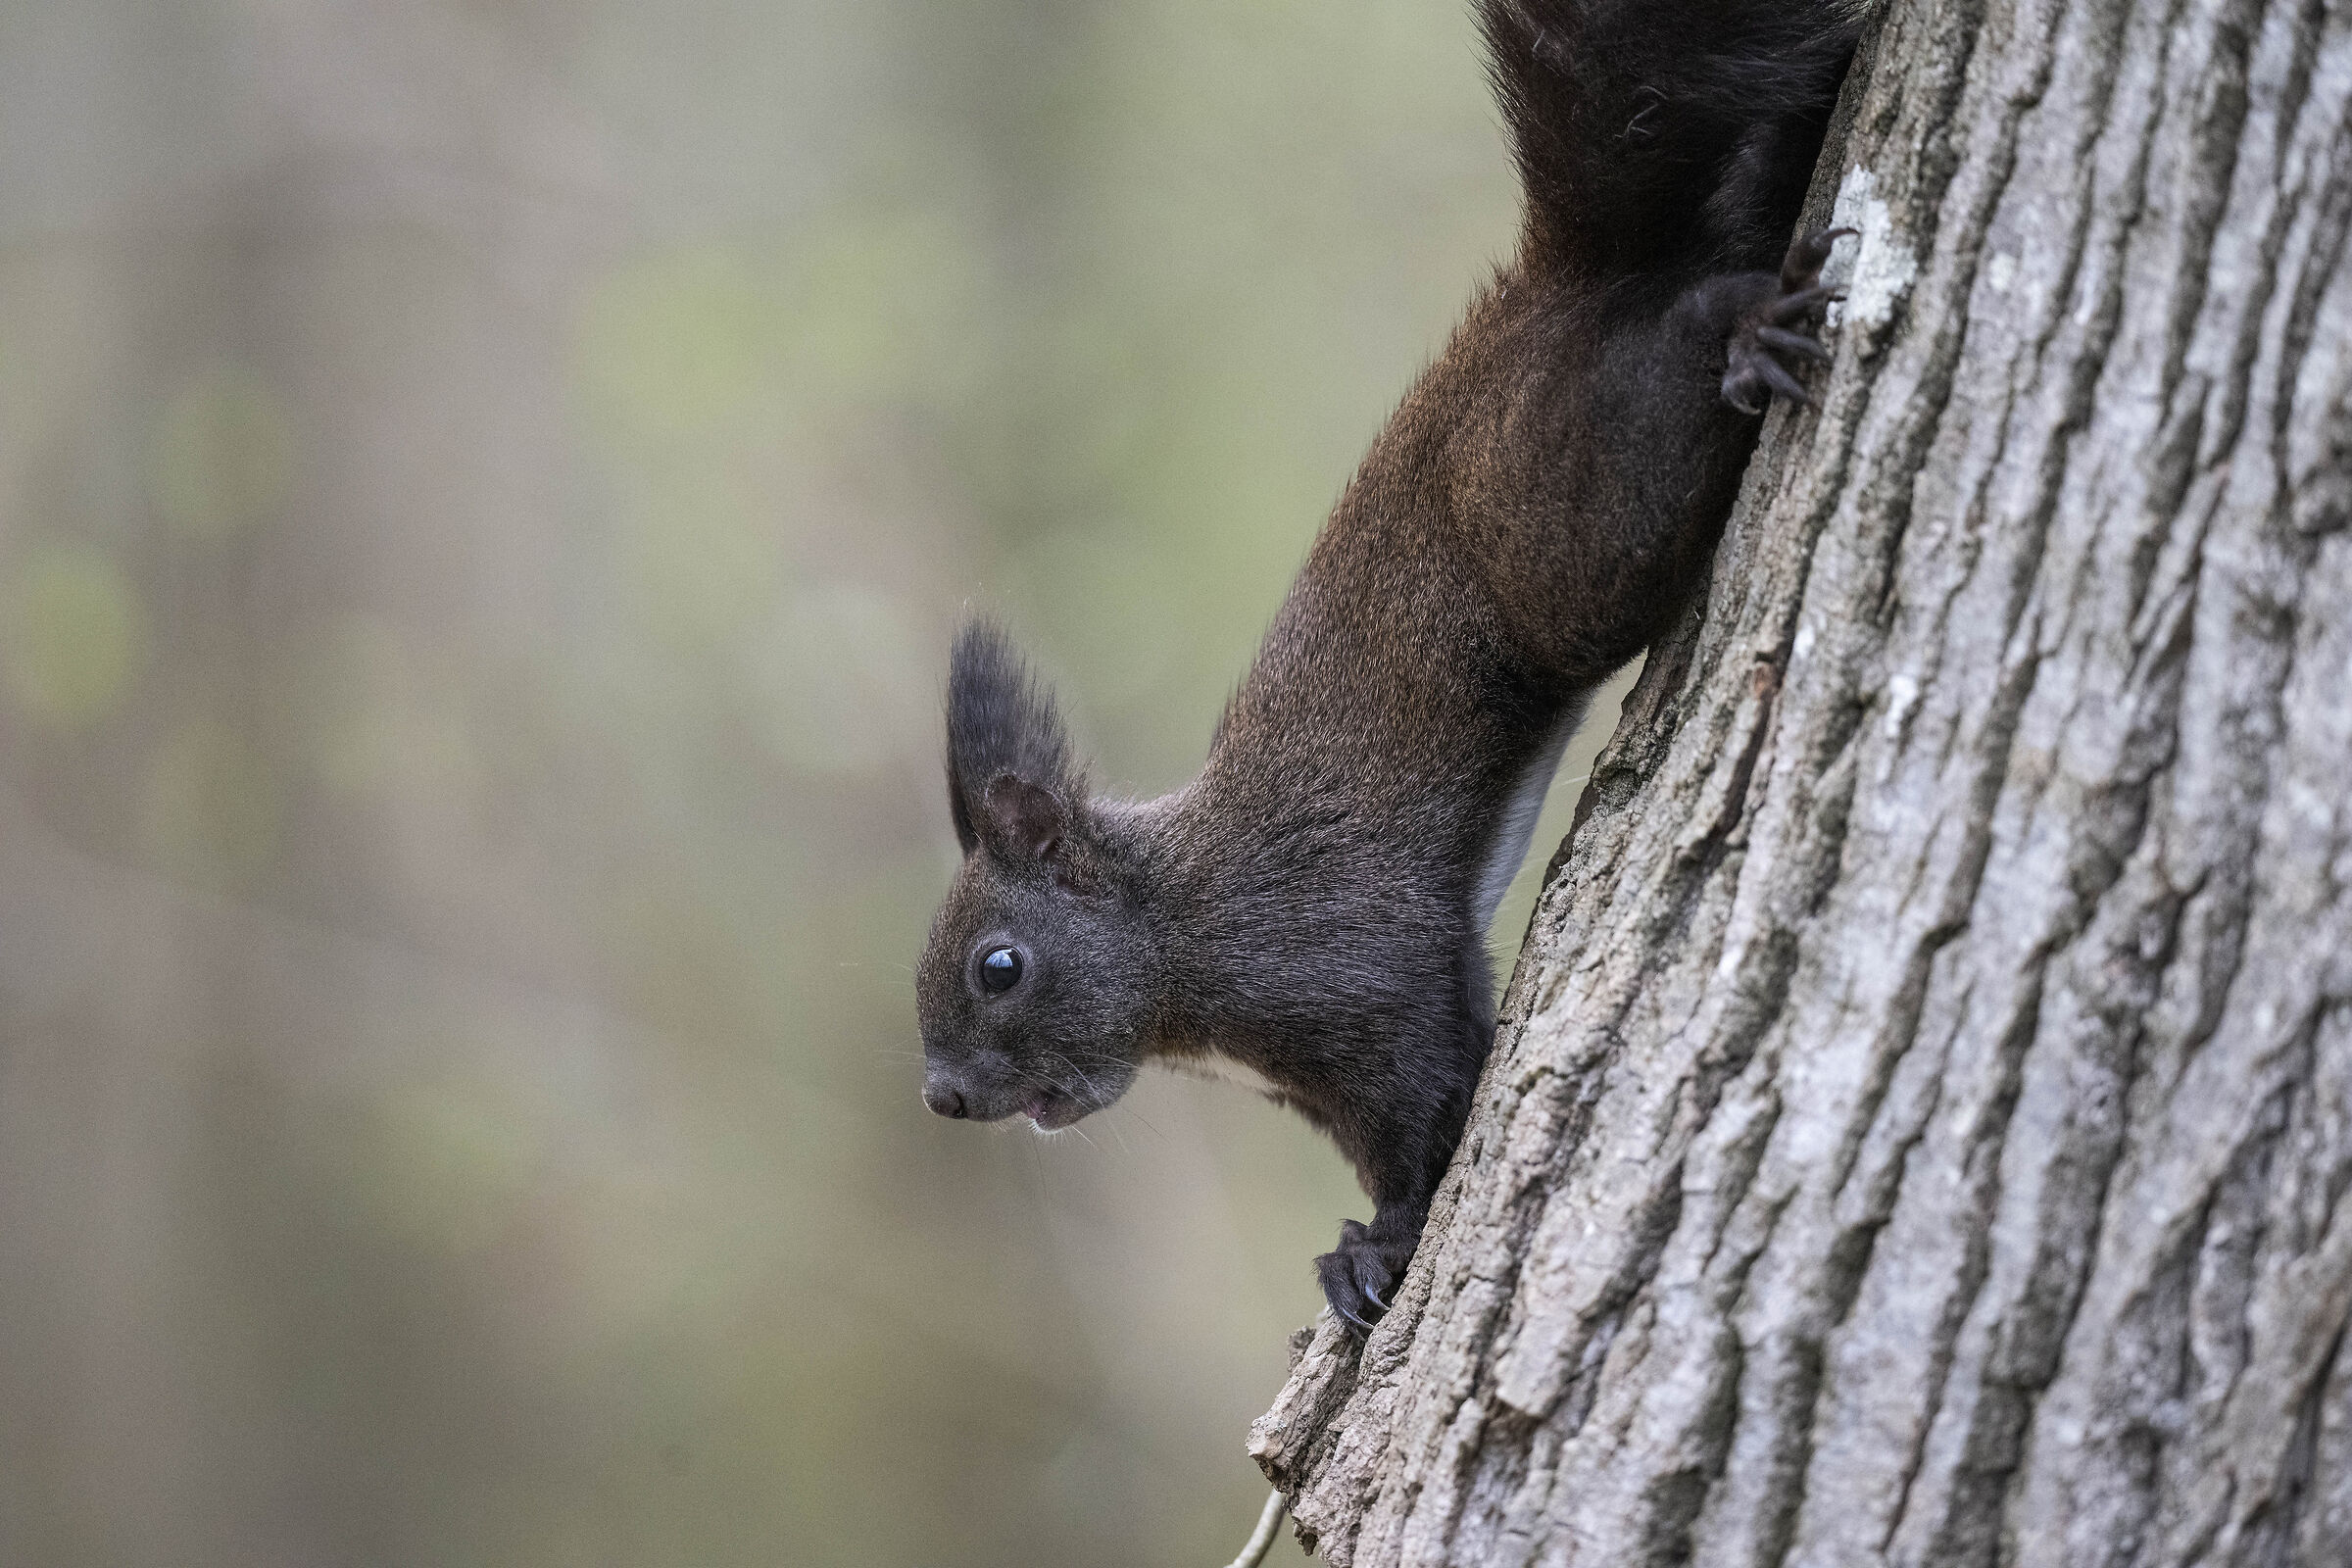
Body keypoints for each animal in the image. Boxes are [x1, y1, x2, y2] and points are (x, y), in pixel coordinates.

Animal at [916, 0, 1863, 1332]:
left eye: (999, 966)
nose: (943, 1098)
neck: (1182, 926)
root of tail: (1563, 287)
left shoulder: (1346, 970)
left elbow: (1431, 1100)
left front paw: (1387, 1240)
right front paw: (1356, 1246)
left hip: (1571, 515)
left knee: (1678, 352)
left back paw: (1742, 333)